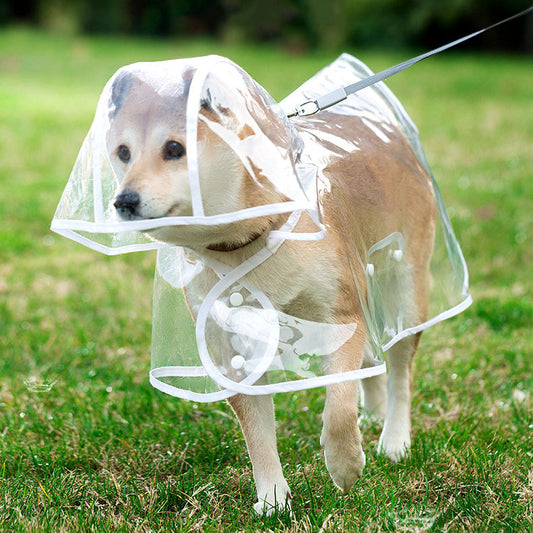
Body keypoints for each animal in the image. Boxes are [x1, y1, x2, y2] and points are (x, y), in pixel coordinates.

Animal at [106, 60, 434, 512]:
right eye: (123, 152)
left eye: (174, 148)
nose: (124, 201)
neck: (248, 238)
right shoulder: (229, 346)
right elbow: (257, 432)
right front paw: (273, 498)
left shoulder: (341, 314)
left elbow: (337, 410)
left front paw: (345, 465)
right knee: (372, 360)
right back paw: (373, 413)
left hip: (405, 288)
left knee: (400, 369)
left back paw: (395, 438)